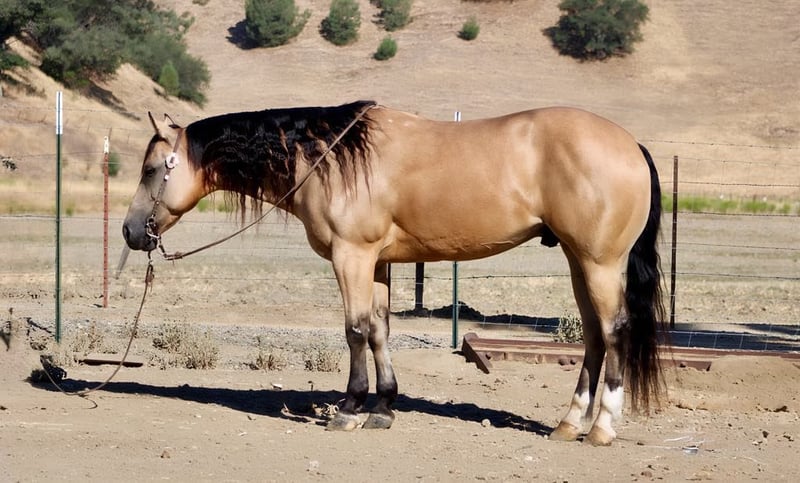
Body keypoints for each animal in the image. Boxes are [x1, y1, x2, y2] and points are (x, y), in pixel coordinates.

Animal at [122, 100, 666, 446]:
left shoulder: (352, 257)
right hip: (578, 262)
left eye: (151, 169)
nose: (130, 231)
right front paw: (383, 408)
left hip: (600, 263)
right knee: (593, 337)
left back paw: (602, 429)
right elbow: (380, 330)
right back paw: (569, 424)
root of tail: (632, 145)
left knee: (614, 332)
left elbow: (355, 330)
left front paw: (349, 410)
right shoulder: (378, 263)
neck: (329, 158)